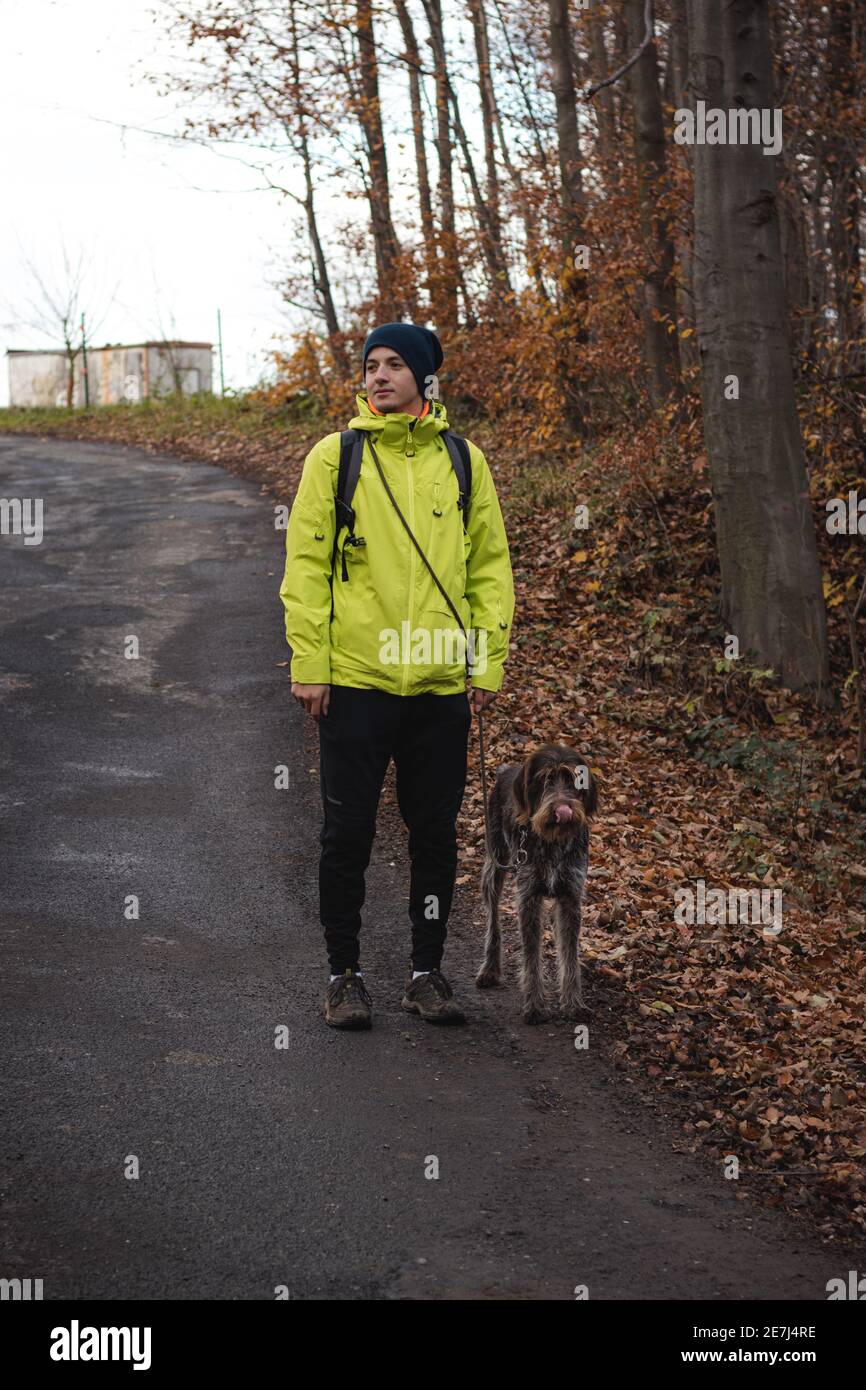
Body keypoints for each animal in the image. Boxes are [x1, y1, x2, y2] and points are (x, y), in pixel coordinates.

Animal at [478, 745, 600, 1028]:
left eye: (573, 780)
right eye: (546, 780)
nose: (563, 809)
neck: (553, 841)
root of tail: (506, 770)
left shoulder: (570, 898)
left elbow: (569, 955)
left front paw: (573, 1003)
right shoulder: (529, 898)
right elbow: (531, 956)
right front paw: (534, 1006)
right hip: (494, 866)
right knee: (493, 920)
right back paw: (490, 968)